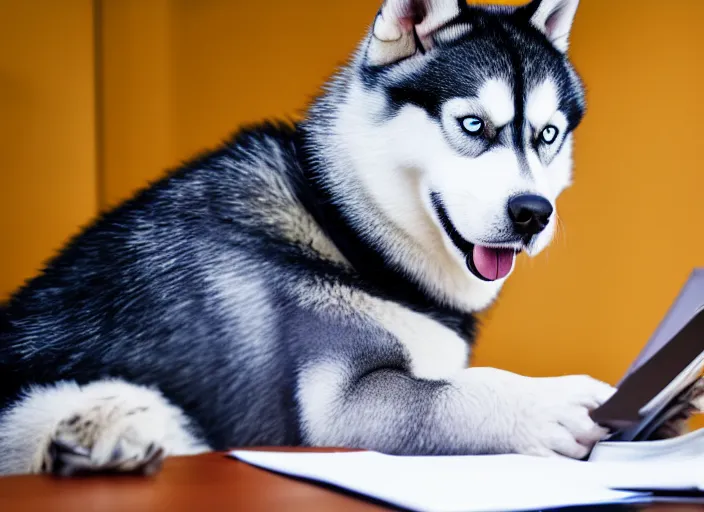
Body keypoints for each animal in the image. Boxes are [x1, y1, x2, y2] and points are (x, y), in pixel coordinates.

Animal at [0, 0, 688, 478]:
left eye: (547, 135)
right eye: (472, 125)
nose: (532, 213)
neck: (345, 227)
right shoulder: (339, 410)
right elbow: (461, 392)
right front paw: (551, 401)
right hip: (80, 403)